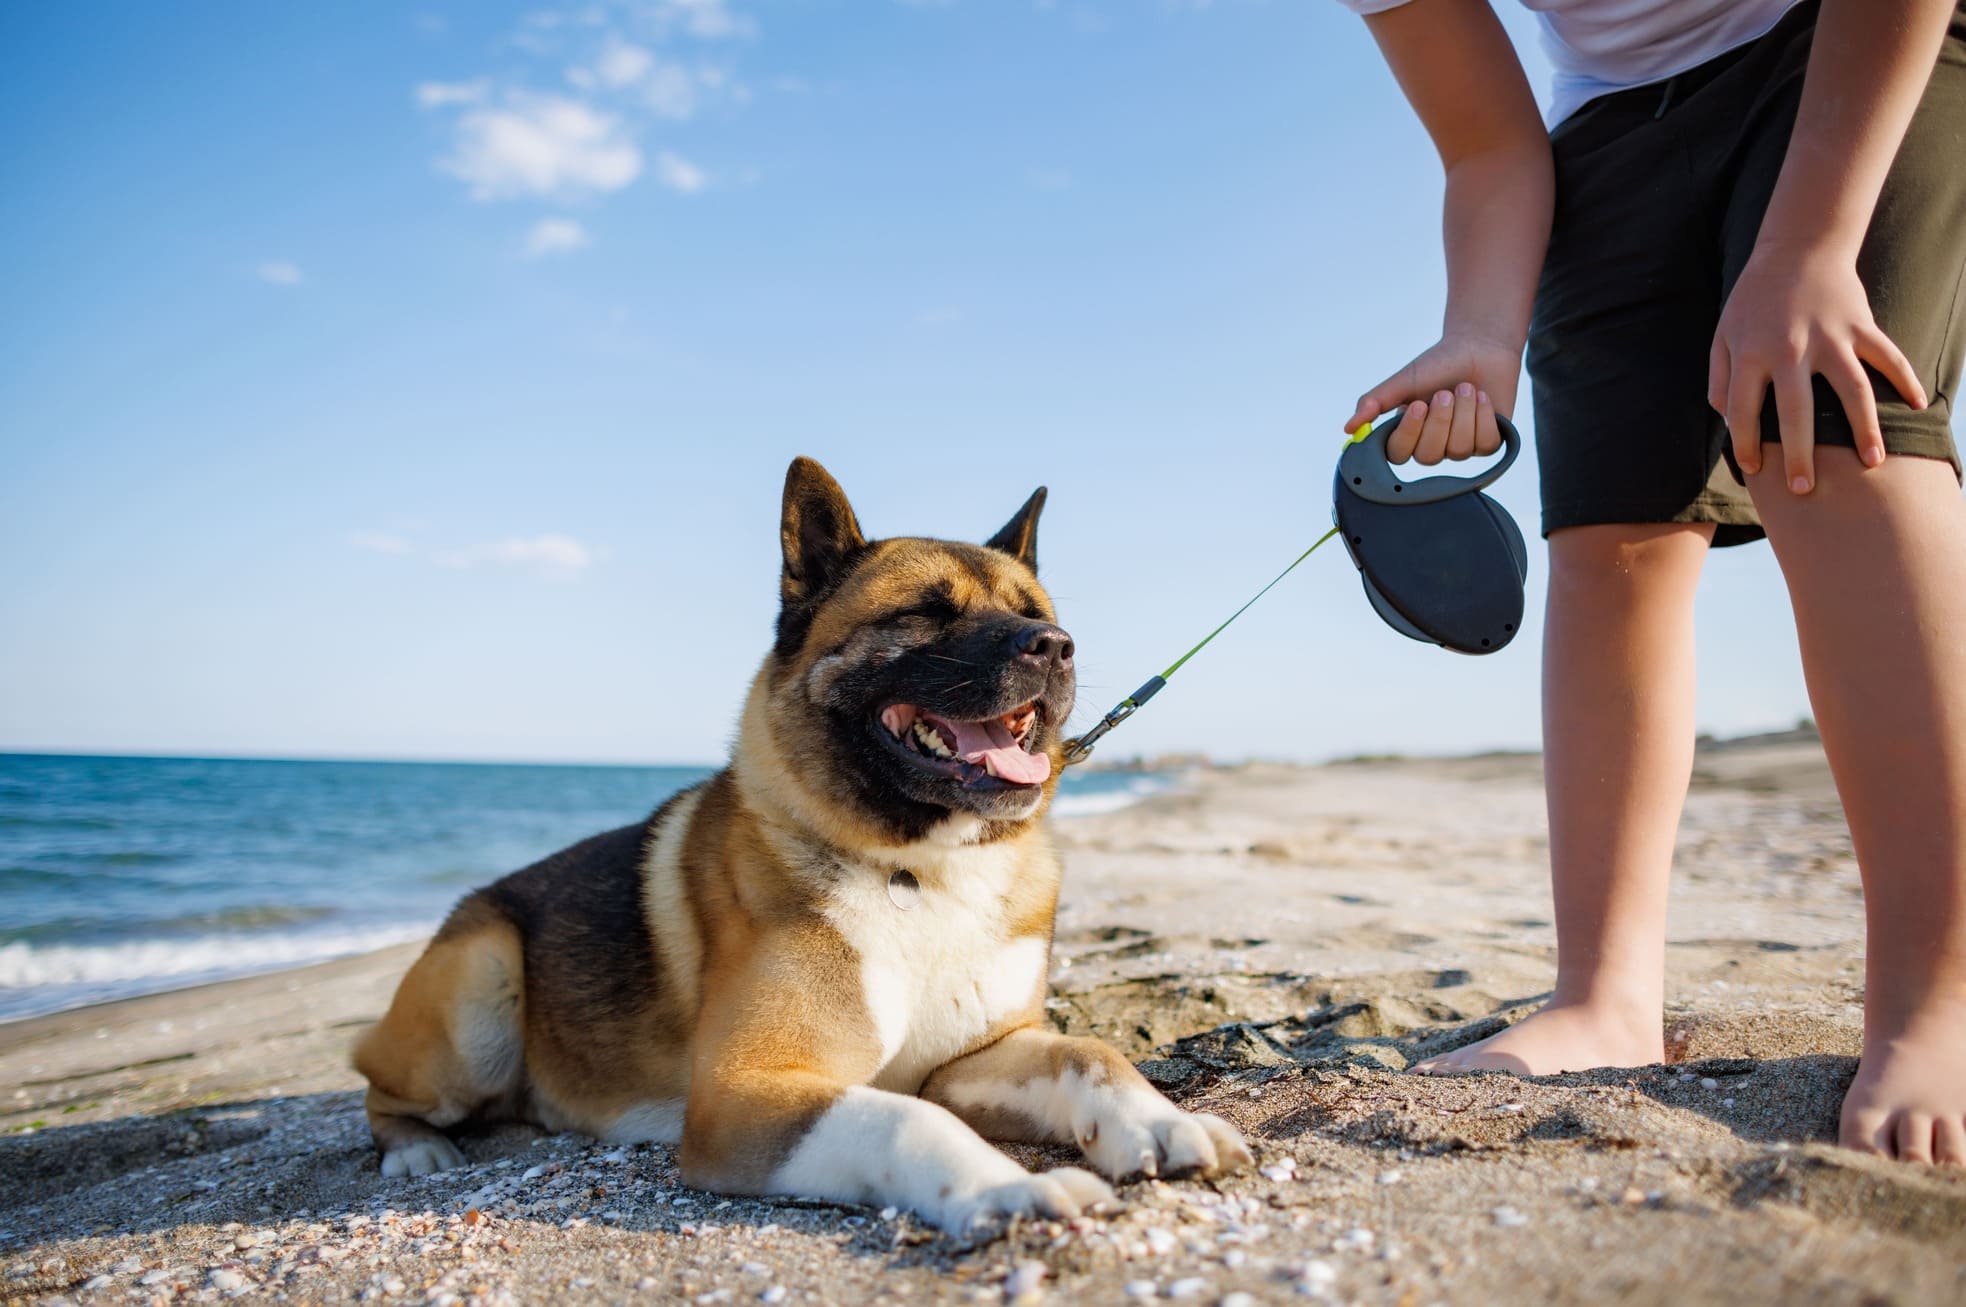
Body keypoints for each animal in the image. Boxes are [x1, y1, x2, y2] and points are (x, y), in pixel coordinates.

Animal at [351, 457, 1242, 1234]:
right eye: (924, 612)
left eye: (1032, 609)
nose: (1053, 644)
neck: (920, 867)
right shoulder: (741, 1095)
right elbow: (907, 1120)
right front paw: (1005, 1189)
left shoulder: (973, 1059)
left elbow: (1088, 1054)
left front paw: (1157, 1119)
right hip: (483, 979)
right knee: (377, 1086)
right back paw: (419, 1151)